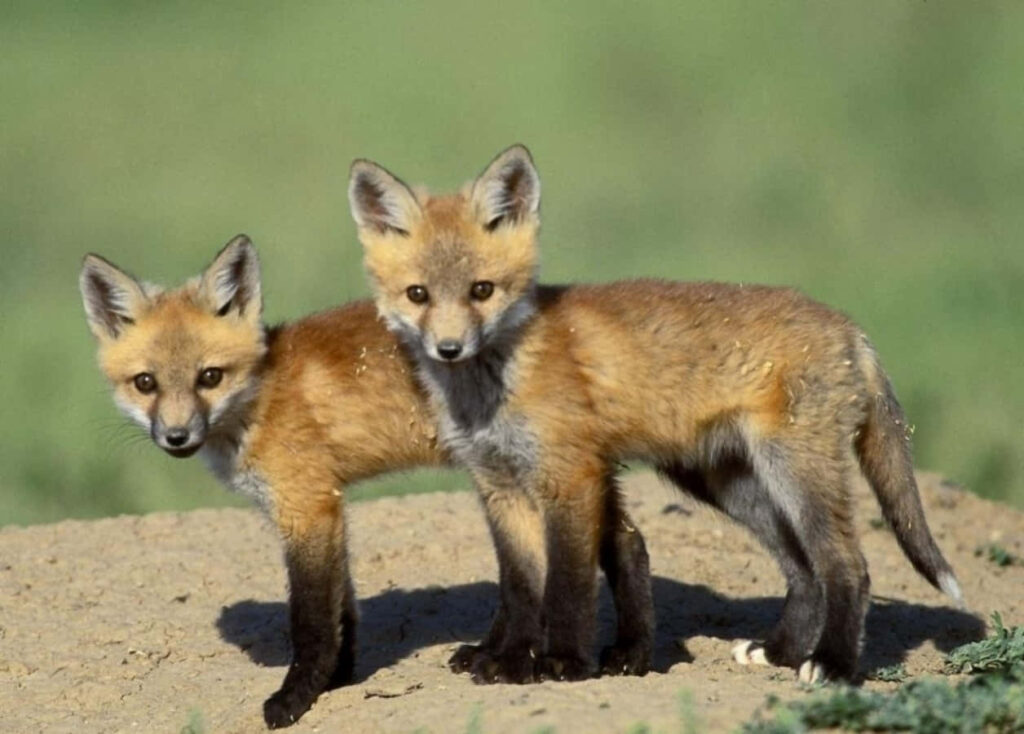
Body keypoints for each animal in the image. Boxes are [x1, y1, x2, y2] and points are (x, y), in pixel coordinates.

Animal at [78, 235, 656, 727]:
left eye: (209, 377)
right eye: (146, 383)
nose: (176, 437)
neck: (261, 399)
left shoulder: (307, 508)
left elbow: (311, 620)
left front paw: (296, 698)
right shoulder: (329, 507)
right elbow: (343, 609)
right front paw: (337, 682)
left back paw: (615, 653)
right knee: (630, 543)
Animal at [348, 145, 964, 686]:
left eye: (482, 290)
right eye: (418, 294)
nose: (449, 349)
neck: (495, 384)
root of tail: (850, 327)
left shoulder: (571, 475)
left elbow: (567, 584)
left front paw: (563, 662)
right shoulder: (498, 485)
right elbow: (520, 586)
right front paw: (505, 658)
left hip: (794, 472)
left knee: (848, 566)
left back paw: (832, 664)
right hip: (727, 483)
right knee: (804, 571)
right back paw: (782, 652)